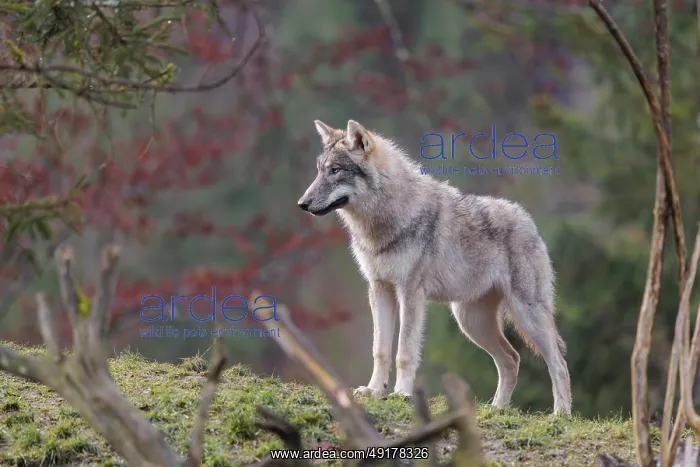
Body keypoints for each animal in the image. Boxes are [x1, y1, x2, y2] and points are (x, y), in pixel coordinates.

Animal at [297, 119, 572, 415]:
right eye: (319, 171)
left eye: (335, 171)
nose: (302, 204)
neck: (386, 220)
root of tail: (528, 219)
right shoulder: (379, 288)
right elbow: (380, 349)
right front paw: (374, 390)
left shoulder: (410, 293)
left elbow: (404, 351)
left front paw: (401, 393)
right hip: (470, 322)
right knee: (512, 358)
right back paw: (497, 409)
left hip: (525, 315)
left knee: (558, 362)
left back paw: (561, 414)